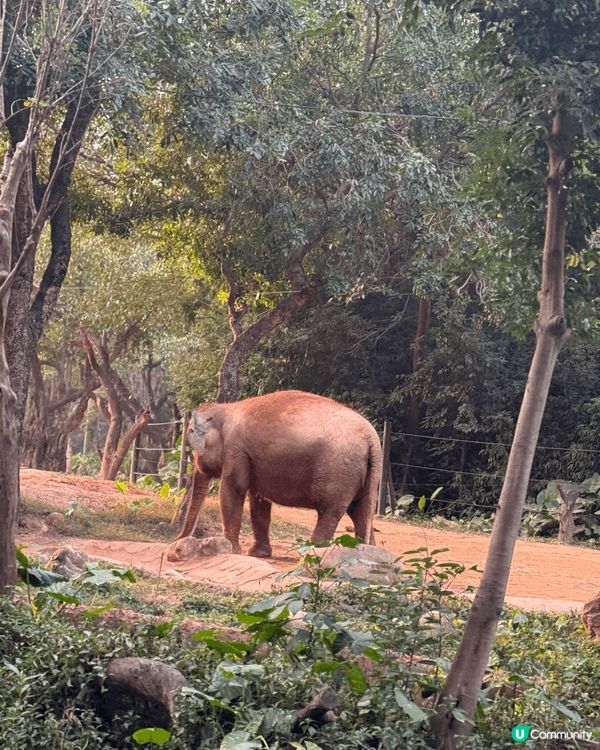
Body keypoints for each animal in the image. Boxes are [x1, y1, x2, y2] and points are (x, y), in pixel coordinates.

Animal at [177, 390, 383, 557]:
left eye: (194, 449)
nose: (177, 543)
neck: (226, 408)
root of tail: (371, 439)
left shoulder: (236, 450)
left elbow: (233, 490)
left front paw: (232, 551)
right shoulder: (251, 457)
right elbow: (258, 501)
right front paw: (257, 554)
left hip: (338, 473)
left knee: (330, 511)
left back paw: (310, 555)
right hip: (365, 474)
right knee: (361, 512)